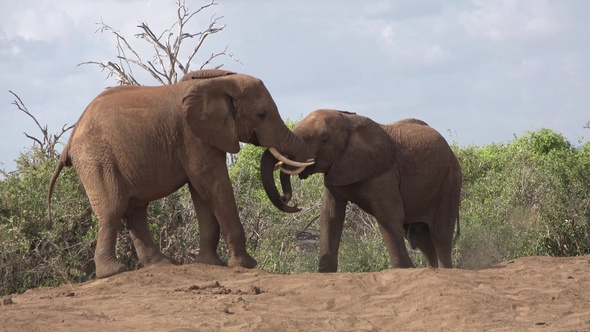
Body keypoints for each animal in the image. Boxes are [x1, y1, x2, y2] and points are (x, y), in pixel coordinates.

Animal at [47, 69, 314, 278]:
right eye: (261, 115)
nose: (291, 201)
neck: (221, 81)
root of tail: (70, 141)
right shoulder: (193, 136)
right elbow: (213, 184)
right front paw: (245, 265)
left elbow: (202, 192)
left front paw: (209, 263)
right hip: (96, 158)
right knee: (113, 208)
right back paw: (114, 272)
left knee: (134, 210)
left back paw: (163, 265)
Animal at [262, 109, 462, 272]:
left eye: (324, 139)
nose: (286, 198)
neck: (348, 121)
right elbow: (330, 216)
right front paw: (325, 273)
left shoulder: (384, 171)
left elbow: (389, 216)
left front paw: (405, 270)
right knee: (422, 238)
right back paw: (432, 270)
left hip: (450, 179)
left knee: (440, 234)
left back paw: (444, 270)